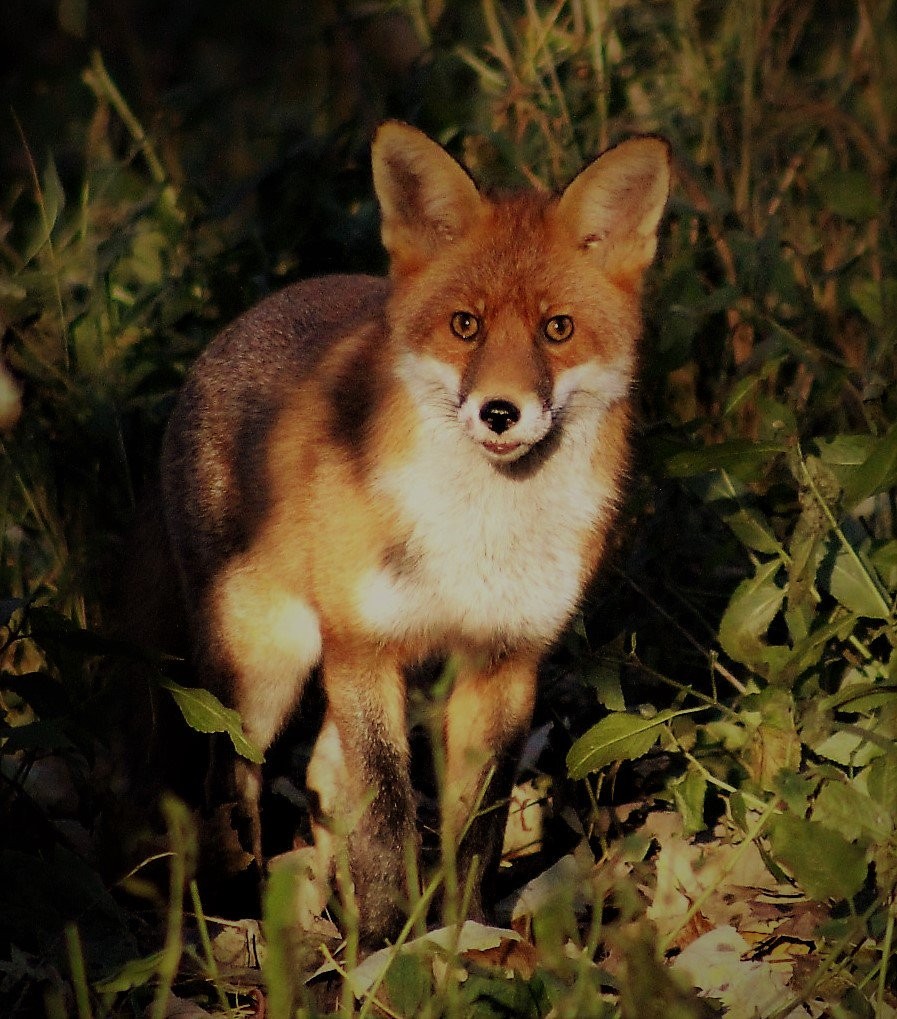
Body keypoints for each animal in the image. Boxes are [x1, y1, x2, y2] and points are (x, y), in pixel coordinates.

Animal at [159, 121, 671, 943]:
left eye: (557, 329)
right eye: (465, 324)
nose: (500, 411)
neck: (479, 535)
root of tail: (249, 316)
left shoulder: (506, 658)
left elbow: (478, 822)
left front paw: (462, 932)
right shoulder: (364, 646)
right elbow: (385, 815)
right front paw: (384, 941)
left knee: (318, 773)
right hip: (265, 668)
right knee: (232, 778)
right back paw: (235, 911)